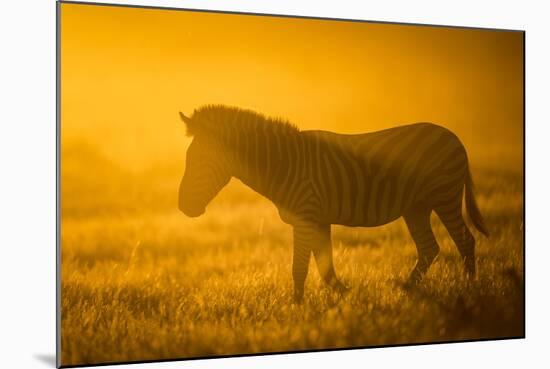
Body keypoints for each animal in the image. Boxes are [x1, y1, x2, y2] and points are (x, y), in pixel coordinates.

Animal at [179, 104, 490, 302]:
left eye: (198, 161)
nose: (183, 207)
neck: (284, 164)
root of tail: (454, 137)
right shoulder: (318, 219)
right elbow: (325, 267)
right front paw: (345, 296)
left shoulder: (306, 216)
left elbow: (300, 267)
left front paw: (297, 307)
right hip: (416, 206)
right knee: (429, 248)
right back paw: (406, 290)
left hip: (444, 196)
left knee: (465, 241)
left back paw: (469, 289)